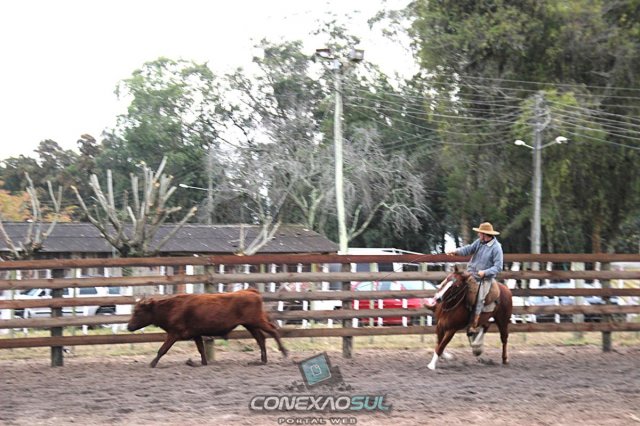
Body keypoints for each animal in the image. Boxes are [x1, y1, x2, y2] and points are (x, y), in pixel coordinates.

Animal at [127, 288, 288, 368]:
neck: (172, 308)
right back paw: (262, 360)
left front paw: (152, 363)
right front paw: (202, 363)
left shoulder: (174, 333)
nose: (129, 327)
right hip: (250, 324)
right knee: (261, 338)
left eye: (138, 312)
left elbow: (162, 349)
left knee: (273, 330)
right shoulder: (196, 334)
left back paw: (284, 352)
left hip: (256, 321)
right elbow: (201, 349)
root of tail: (252, 292)